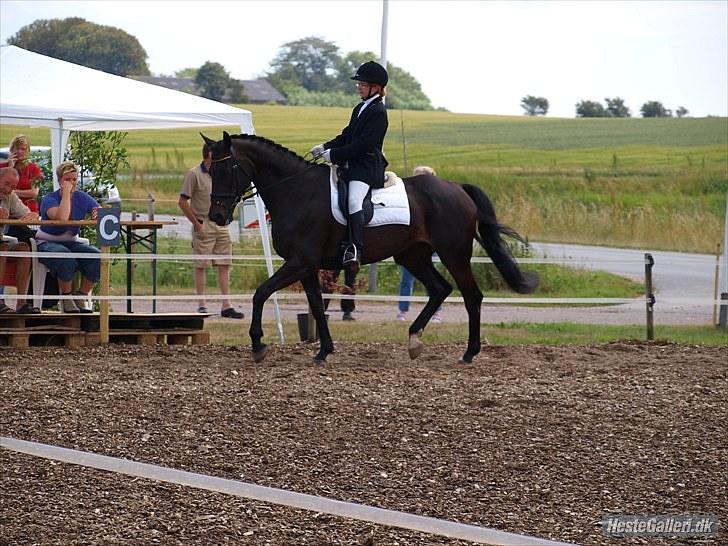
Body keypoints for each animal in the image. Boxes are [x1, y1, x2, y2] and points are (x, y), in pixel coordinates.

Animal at [200, 130, 536, 364]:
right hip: (412, 256)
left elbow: (261, 293)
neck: (296, 191)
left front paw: (258, 345)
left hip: (453, 254)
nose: (216, 216)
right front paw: (323, 351)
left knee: (471, 296)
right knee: (440, 289)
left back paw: (468, 353)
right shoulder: (307, 266)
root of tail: (457, 188)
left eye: (226, 169)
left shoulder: (299, 261)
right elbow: (317, 307)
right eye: (209, 170)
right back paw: (414, 341)